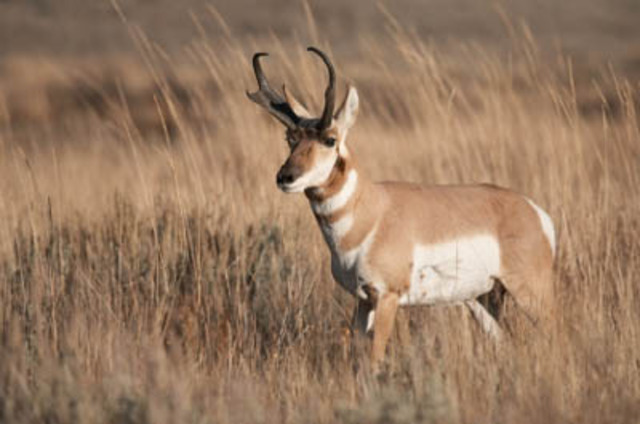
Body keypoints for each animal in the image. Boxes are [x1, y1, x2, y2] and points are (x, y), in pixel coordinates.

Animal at [247, 47, 556, 372]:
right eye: (290, 139)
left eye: (330, 140)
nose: (285, 177)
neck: (371, 210)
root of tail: (534, 211)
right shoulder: (362, 300)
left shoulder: (387, 297)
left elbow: (374, 358)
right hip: (481, 299)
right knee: (502, 339)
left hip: (531, 292)